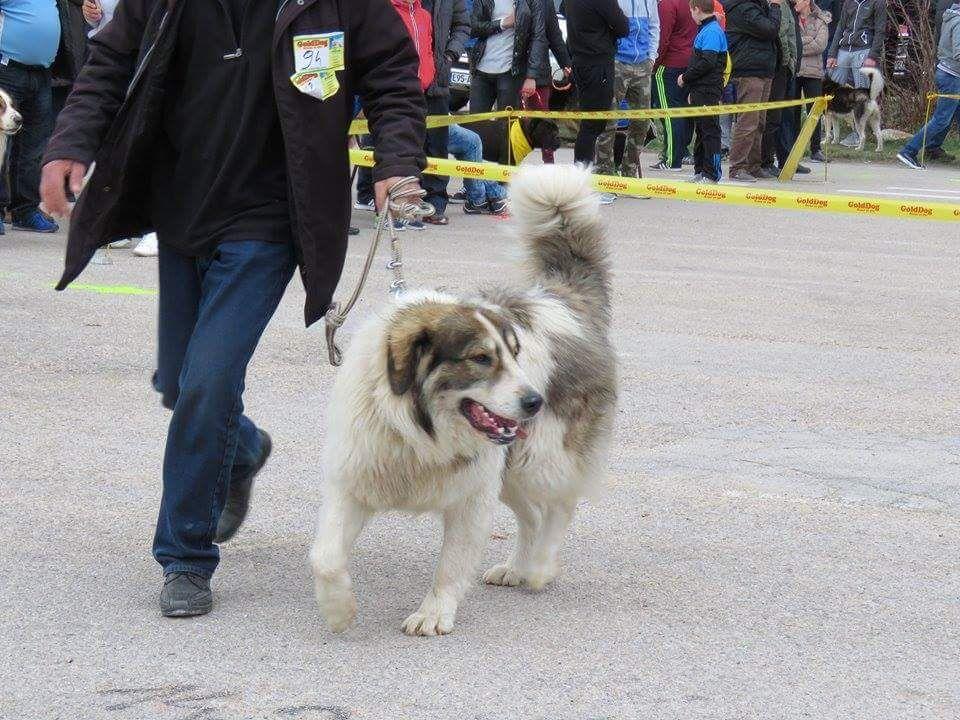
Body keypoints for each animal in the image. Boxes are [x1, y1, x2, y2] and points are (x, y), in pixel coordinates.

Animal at [312, 163, 620, 636]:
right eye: (481, 358)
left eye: (514, 353)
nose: (534, 402)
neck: (418, 429)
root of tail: (563, 299)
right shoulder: (355, 480)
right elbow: (325, 556)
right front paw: (338, 608)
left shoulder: (472, 495)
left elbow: (451, 564)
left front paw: (434, 612)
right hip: (509, 469)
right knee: (532, 515)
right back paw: (518, 566)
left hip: (537, 458)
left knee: (558, 506)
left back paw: (539, 566)